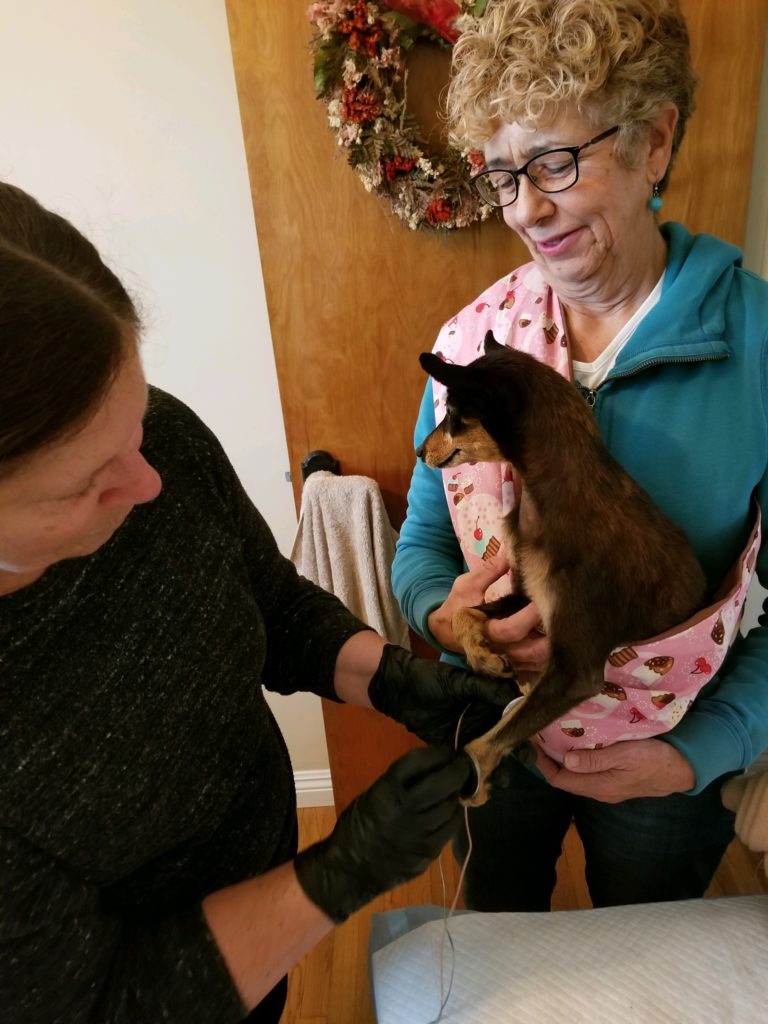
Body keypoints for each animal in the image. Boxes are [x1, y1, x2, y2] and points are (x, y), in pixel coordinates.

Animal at [417, 331, 708, 802]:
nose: (419, 450)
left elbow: (493, 736)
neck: (550, 499)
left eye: (456, 415)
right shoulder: (527, 597)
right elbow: (464, 611)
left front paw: (474, 775)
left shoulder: (577, 671)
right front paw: (483, 655)